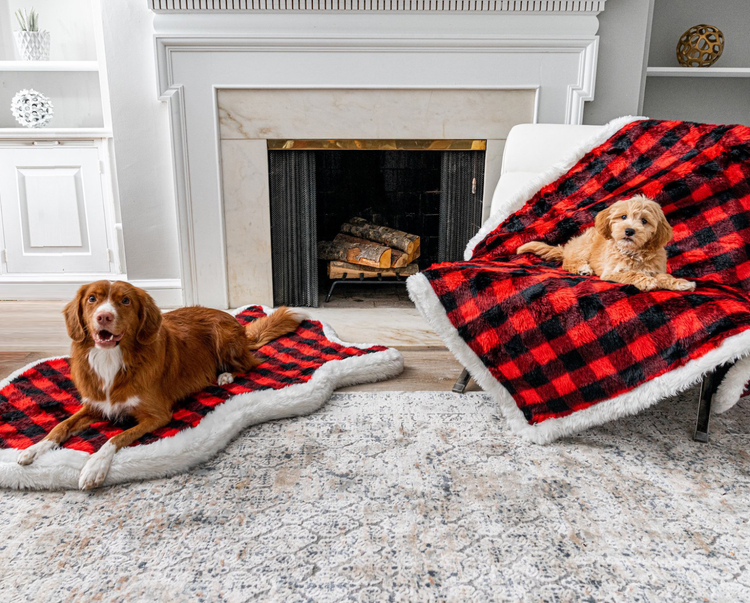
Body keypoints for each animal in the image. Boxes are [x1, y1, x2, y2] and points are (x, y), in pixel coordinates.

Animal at [17, 280, 300, 488]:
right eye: (92, 299)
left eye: (125, 300)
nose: (104, 316)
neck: (113, 359)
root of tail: (237, 324)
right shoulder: (95, 406)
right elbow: (61, 426)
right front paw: (34, 449)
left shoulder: (157, 415)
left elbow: (115, 438)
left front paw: (94, 467)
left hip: (224, 337)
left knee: (249, 364)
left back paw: (225, 376)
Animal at [520, 196, 696, 292]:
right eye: (623, 217)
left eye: (644, 221)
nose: (629, 231)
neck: (634, 252)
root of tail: (568, 247)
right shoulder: (611, 272)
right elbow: (631, 273)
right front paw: (647, 281)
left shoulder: (655, 268)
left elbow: (664, 276)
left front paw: (681, 283)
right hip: (585, 246)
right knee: (568, 262)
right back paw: (583, 268)